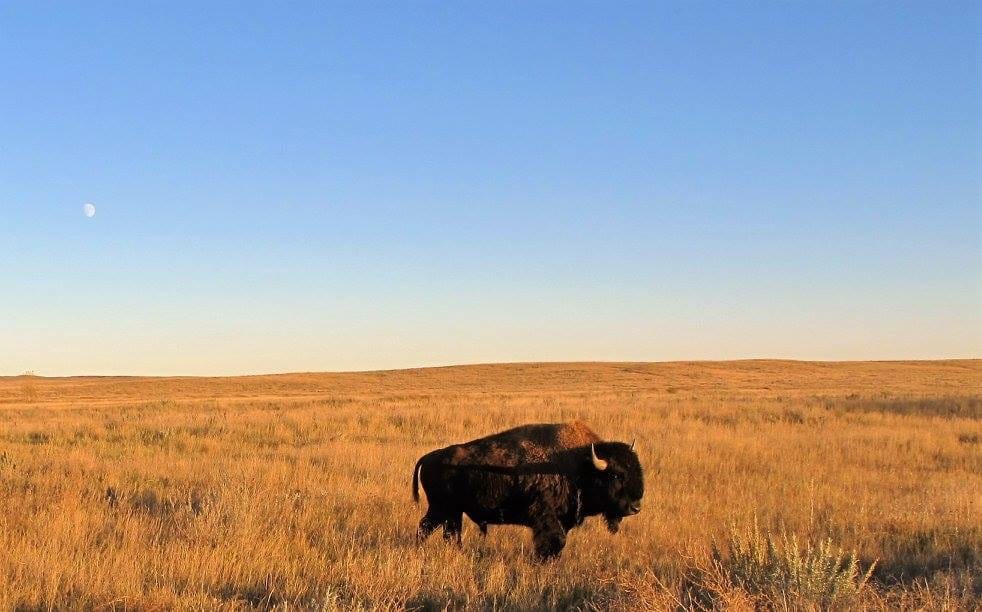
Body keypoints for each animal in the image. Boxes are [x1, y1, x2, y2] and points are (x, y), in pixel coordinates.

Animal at [412, 420, 640, 560]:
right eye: (616, 475)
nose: (635, 508)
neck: (581, 465)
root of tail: (430, 456)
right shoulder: (546, 519)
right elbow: (553, 541)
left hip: (453, 512)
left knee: (450, 534)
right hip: (440, 509)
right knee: (424, 529)